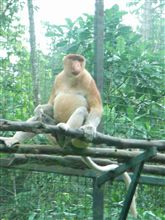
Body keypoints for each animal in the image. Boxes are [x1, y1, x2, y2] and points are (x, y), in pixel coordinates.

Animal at [0, 54, 137, 217]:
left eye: (80, 60)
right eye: (74, 59)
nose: (77, 65)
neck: (72, 78)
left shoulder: (88, 79)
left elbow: (96, 106)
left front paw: (89, 129)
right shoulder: (58, 78)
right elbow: (50, 104)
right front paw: (38, 108)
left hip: (78, 139)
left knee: (81, 110)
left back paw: (65, 131)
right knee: (38, 120)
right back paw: (13, 139)